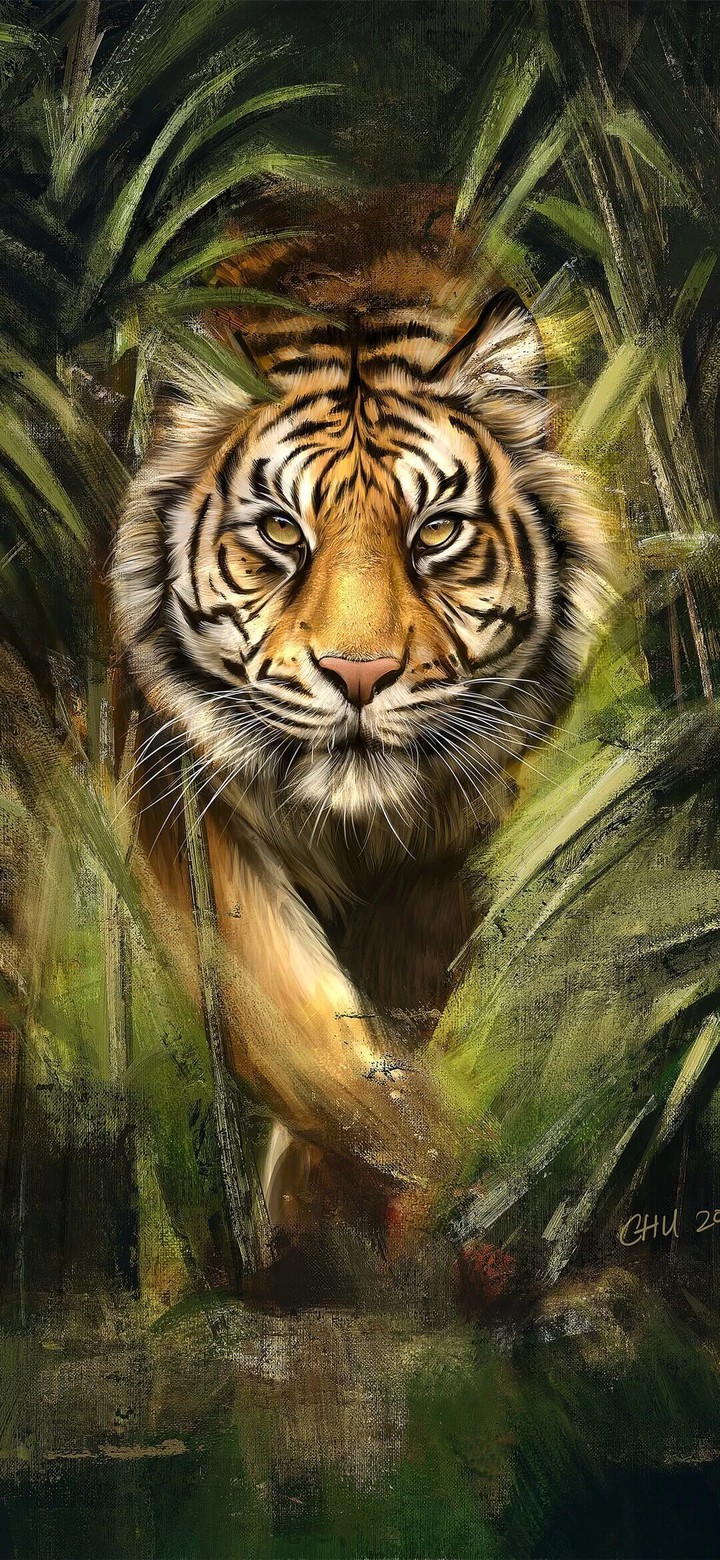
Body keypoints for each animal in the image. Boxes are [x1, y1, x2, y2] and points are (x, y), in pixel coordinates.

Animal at [112, 199, 613, 1251]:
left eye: (437, 532)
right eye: (279, 533)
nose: (359, 673)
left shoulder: (447, 847)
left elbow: (382, 1022)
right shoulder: (185, 804)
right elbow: (297, 1023)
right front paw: (430, 1167)